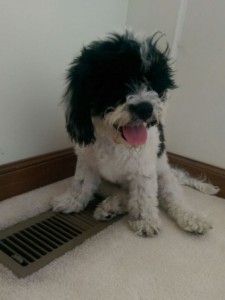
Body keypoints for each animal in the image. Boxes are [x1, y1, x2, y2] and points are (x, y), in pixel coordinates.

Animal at [52, 31, 216, 237]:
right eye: (115, 82)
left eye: (151, 81)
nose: (145, 108)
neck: (116, 142)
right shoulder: (87, 162)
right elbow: (80, 183)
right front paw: (71, 201)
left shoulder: (143, 168)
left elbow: (144, 195)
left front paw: (145, 221)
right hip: (107, 183)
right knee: (124, 194)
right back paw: (111, 207)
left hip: (164, 176)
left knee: (172, 197)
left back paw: (191, 217)